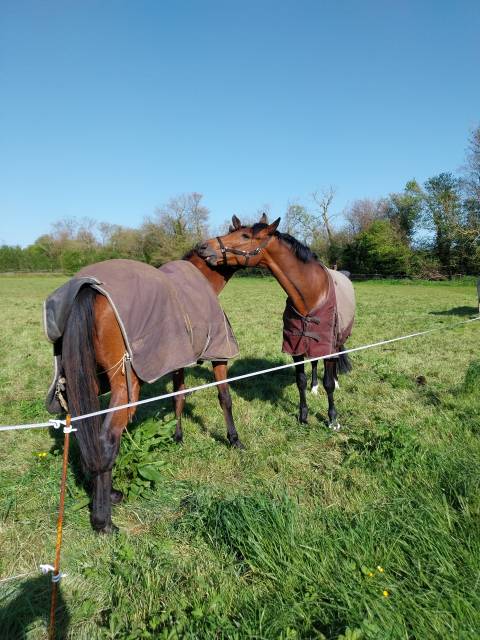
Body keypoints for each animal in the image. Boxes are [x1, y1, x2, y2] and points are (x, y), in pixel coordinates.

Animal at [45, 251, 242, 533]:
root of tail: (87, 287)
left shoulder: (177, 359)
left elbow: (178, 396)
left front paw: (177, 437)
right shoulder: (219, 353)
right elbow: (224, 397)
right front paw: (234, 439)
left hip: (84, 380)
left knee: (87, 434)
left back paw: (108, 493)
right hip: (125, 388)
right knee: (106, 440)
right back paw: (104, 520)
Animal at [196, 214, 355, 430]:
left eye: (245, 236)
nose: (203, 247)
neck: (311, 295)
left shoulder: (326, 345)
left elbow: (328, 383)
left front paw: (333, 419)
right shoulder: (296, 346)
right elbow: (300, 380)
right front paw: (303, 416)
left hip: (337, 340)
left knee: (335, 360)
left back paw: (336, 383)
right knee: (314, 363)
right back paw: (314, 387)